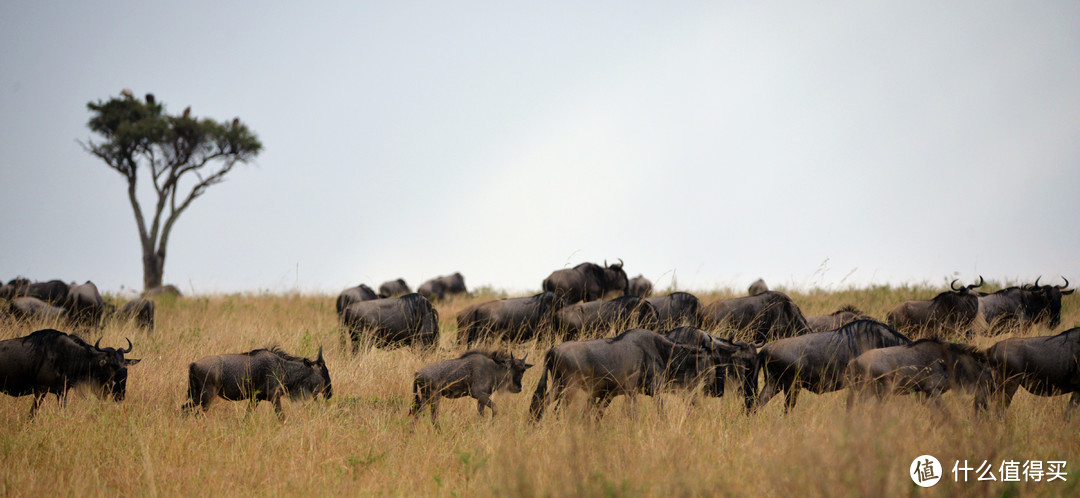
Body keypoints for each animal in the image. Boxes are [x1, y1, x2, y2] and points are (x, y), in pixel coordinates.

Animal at [181, 345, 328, 414]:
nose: (329, 393)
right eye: (323, 371)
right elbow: (281, 417)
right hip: (205, 399)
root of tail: (193, 364)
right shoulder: (274, 397)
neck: (283, 368)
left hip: (197, 397)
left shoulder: (255, 398)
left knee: (184, 409)